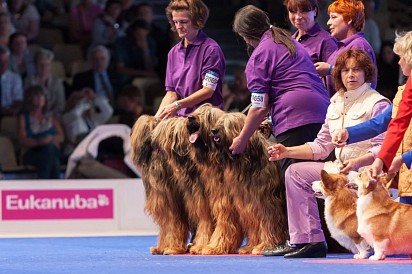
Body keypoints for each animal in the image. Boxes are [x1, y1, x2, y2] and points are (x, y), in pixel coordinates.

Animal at [187, 103, 245, 255]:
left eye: (208, 115)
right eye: (196, 111)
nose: (190, 118)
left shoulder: (224, 203)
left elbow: (223, 224)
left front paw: (215, 246)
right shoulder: (207, 203)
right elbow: (205, 225)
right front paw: (201, 245)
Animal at [211, 112, 288, 255]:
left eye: (229, 124)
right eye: (219, 121)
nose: (213, 131)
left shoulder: (267, 204)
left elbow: (269, 223)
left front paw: (264, 245)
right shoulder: (248, 204)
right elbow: (254, 225)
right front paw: (251, 246)